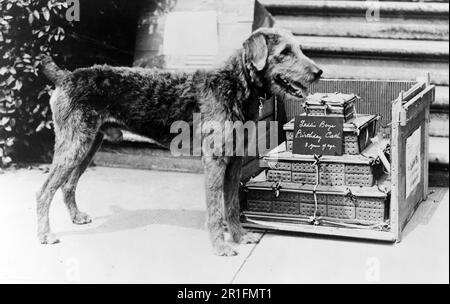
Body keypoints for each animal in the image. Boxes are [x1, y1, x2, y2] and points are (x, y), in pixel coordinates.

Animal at [37, 29, 320, 256]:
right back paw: (44, 235)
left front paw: (239, 236)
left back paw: (76, 217)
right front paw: (221, 247)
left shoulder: (234, 162)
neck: (235, 85)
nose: (319, 72)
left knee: (68, 185)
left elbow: (231, 205)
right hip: (74, 145)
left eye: (298, 48)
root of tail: (66, 77)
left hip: (88, 144)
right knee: (44, 191)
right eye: (285, 51)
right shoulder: (215, 161)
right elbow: (216, 210)